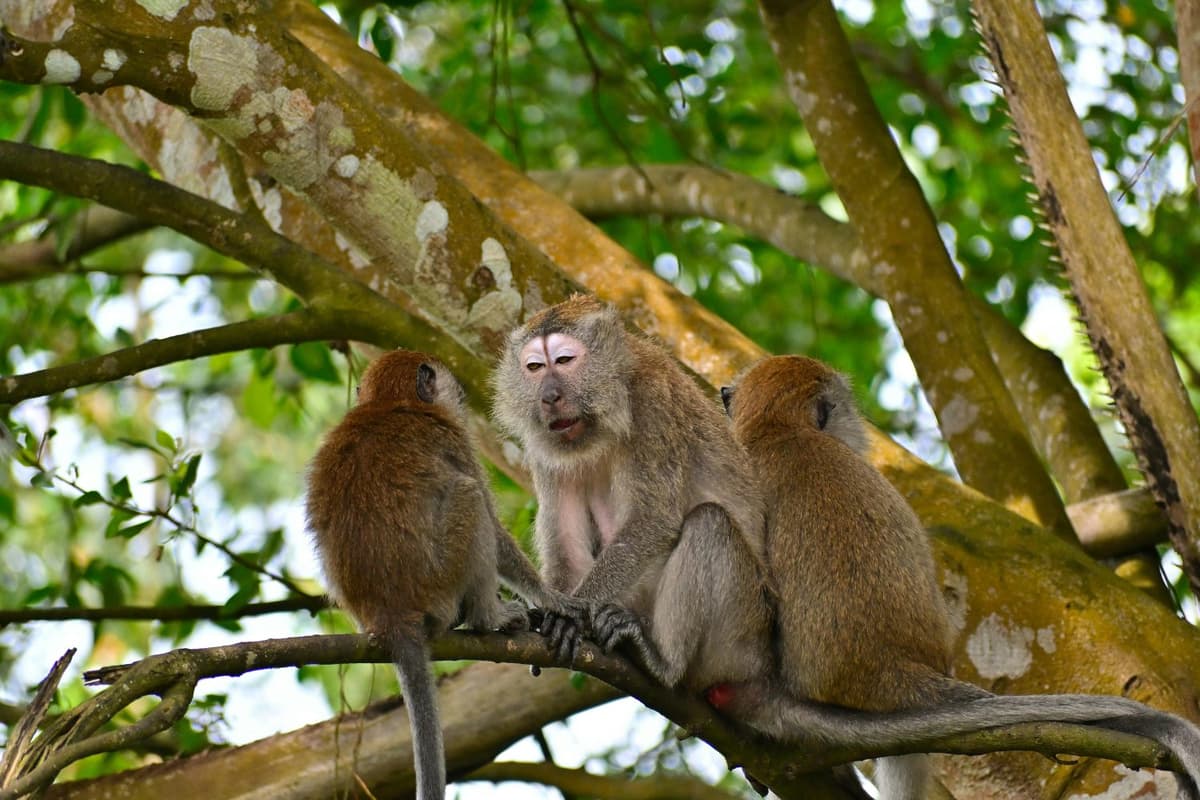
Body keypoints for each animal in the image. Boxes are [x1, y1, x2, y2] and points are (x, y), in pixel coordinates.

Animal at [306, 349, 586, 800]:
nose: (461, 393)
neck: (389, 403)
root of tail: (391, 615)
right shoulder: (454, 438)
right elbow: (493, 525)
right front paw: (552, 598)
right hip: (442, 579)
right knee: (469, 497)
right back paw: (490, 617)